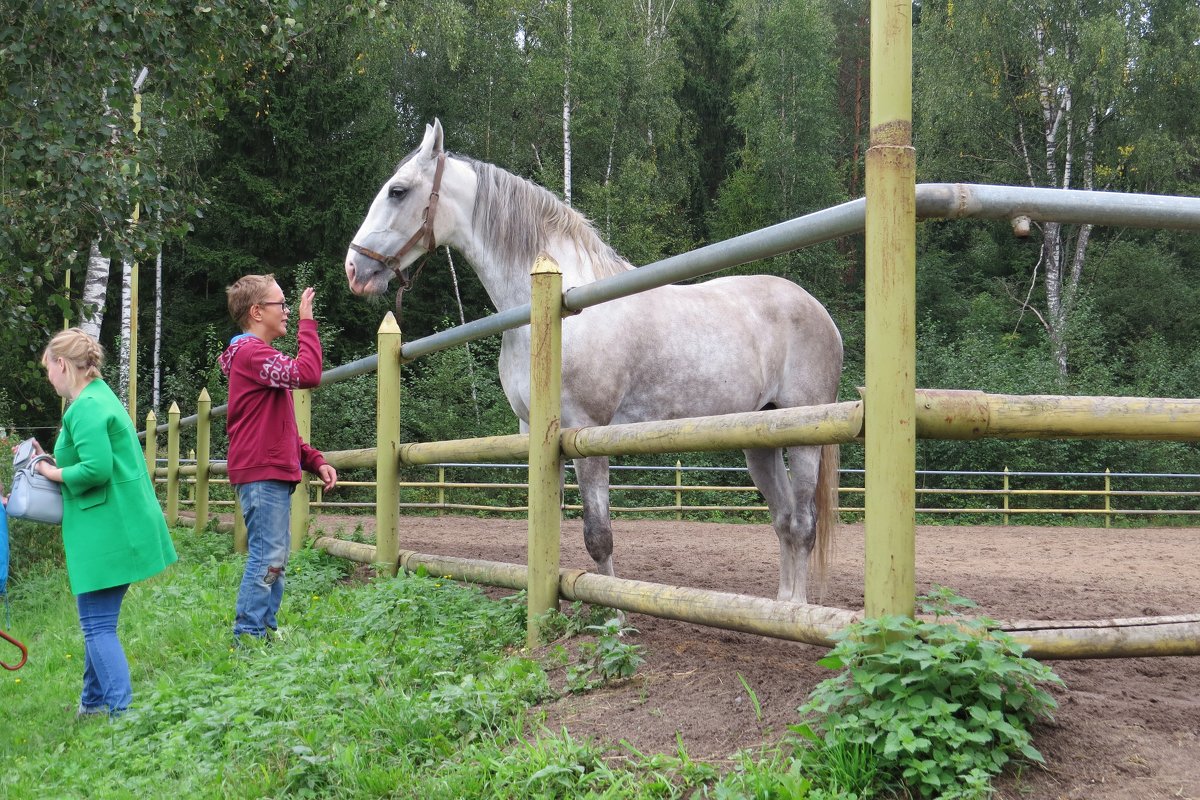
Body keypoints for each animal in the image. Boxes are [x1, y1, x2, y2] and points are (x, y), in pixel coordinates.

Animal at [343, 120, 840, 599]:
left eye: (398, 190)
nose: (354, 269)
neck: (557, 310)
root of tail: (820, 312)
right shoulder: (537, 438)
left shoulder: (587, 430)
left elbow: (598, 537)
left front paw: (612, 618)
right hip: (761, 438)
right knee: (783, 522)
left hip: (804, 435)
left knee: (802, 525)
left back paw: (796, 610)